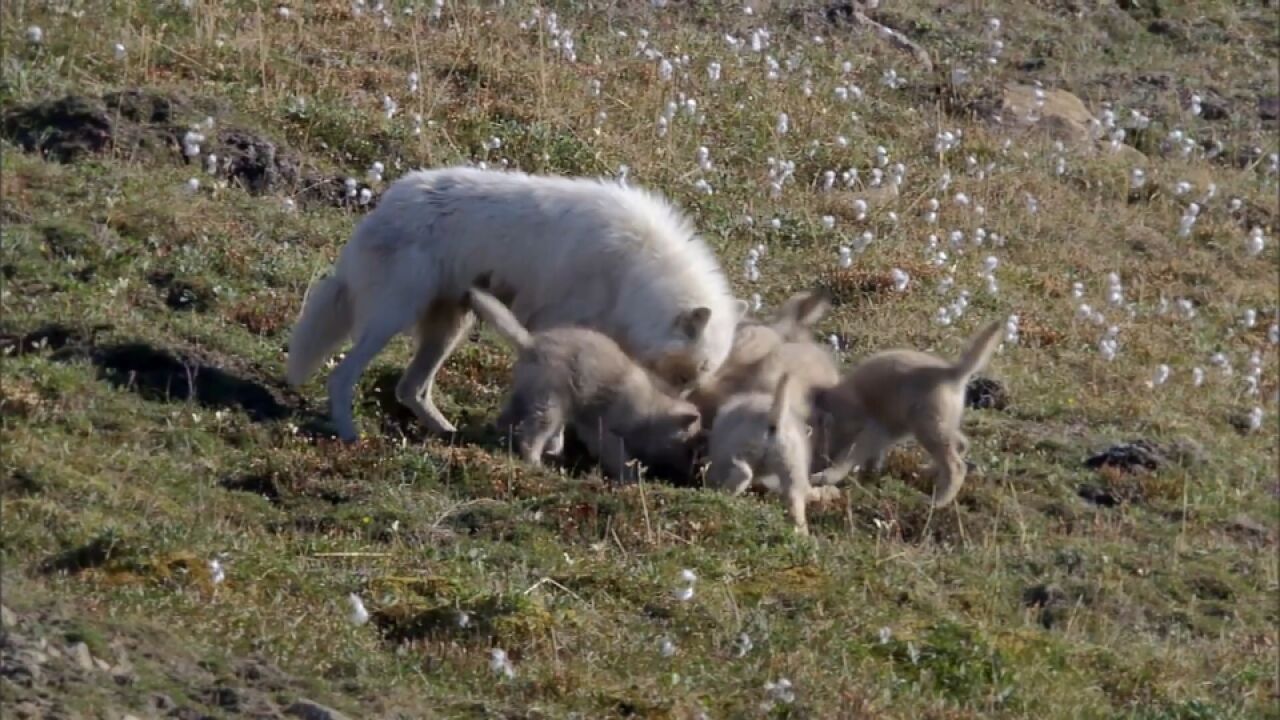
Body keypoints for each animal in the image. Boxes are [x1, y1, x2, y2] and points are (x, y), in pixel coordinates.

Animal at [280, 165, 742, 440]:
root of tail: (382, 207)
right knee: (342, 376)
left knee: (411, 389)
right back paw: (349, 434)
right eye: (683, 376)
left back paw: (448, 434)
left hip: (450, 329)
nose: (686, 413)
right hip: (392, 319)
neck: (635, 275)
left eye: (695, 379)